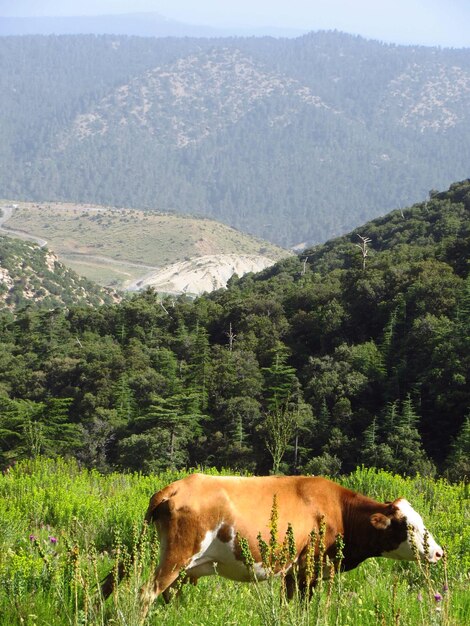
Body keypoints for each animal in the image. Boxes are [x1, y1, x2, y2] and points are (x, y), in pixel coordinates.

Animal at [101, 472, 442, 620]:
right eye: (409, 526)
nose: (439, 552)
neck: (338, 509)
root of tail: (176, 486)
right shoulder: (310, 567)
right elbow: (307, 605)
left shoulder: (292, 571)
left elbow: (288, 603)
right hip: (178, 554)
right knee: (147, 592)